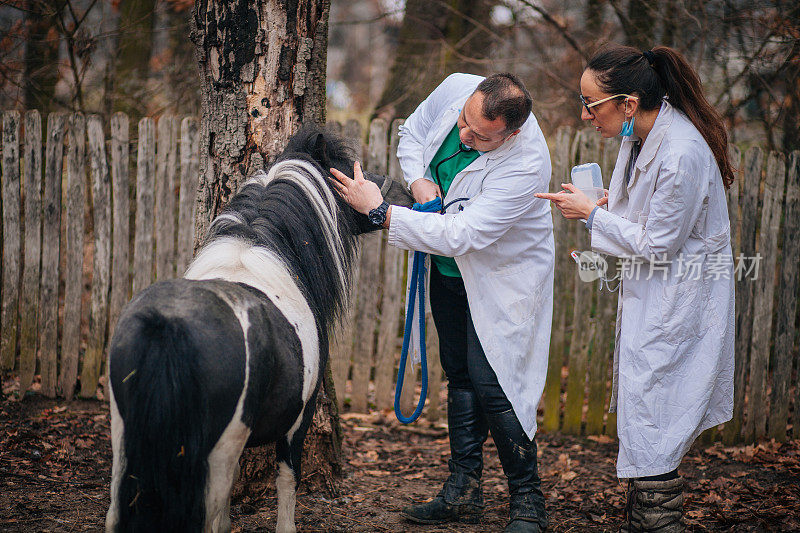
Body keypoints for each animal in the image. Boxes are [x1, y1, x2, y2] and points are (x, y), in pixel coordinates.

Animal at [104, 127, 412, 528]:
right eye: (348, 170)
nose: (405, 195)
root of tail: (168, 324)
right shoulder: (299, 419)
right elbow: (287, 480)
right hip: (215, 449)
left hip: (124, 436)